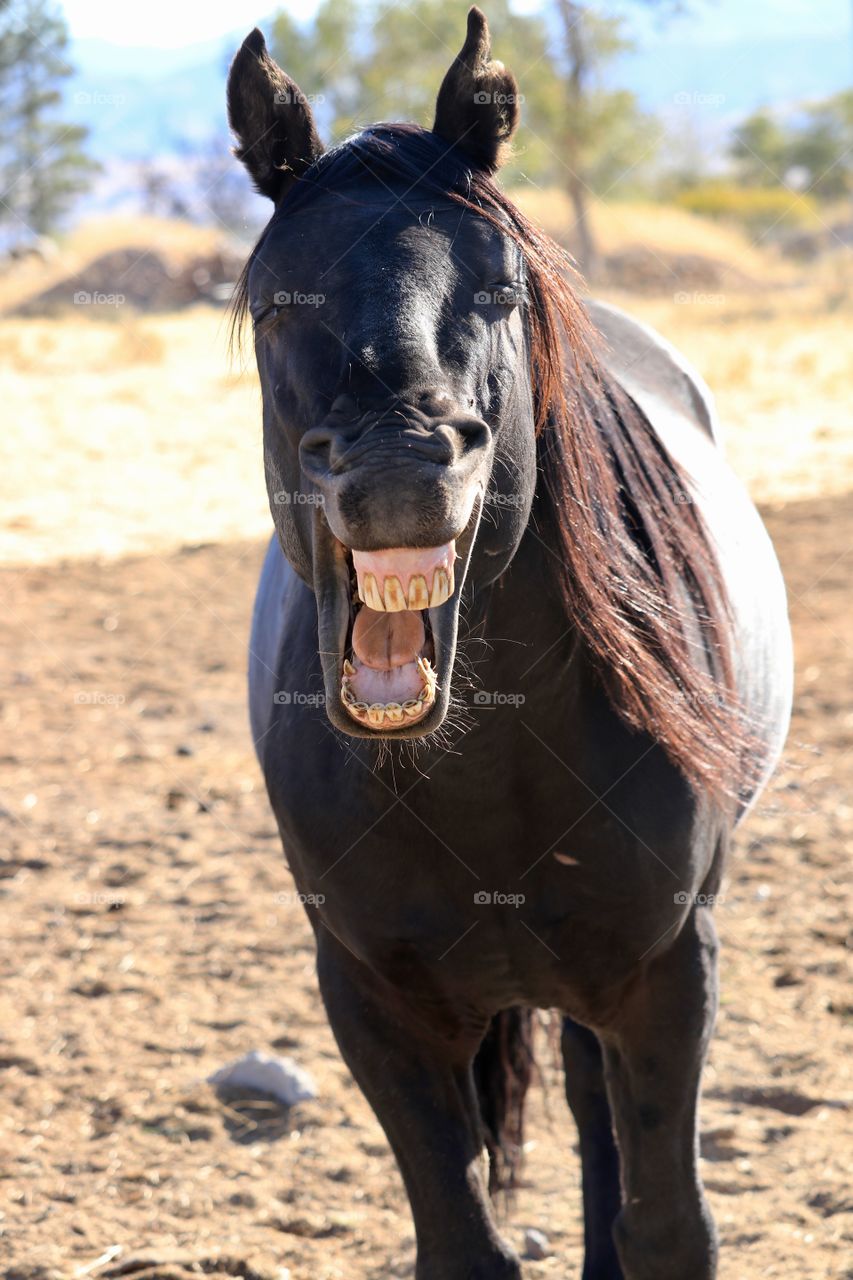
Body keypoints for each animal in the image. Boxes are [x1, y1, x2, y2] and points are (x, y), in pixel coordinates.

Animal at [227, 11, 793, 1278]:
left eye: (497, 289)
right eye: (277, 300)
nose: (398, 464)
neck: (485, 778)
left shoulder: (666, 974)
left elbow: (666, 1222)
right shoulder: (372, 1001)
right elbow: (460, 1240)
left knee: (597, 1129)